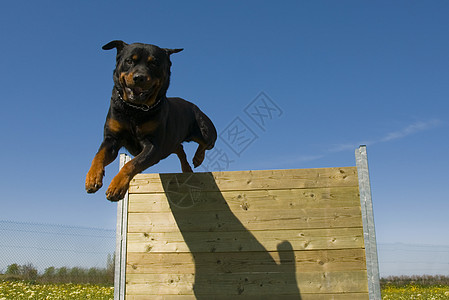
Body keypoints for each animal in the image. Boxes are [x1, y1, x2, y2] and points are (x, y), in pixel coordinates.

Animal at [86, 41, 217, 202]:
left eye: (154, 63)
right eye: (129, 61)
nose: (139, 77)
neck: (135, 109)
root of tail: (194, 106)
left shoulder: (153, 146)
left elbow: (131, 164)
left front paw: (116, 186)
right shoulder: (112, 138)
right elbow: (98, 156)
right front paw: (92, 178)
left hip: (204, 129)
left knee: (207, 143)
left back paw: (198, 158)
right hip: (170, 142)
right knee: (179, 147)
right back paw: (186, 168)